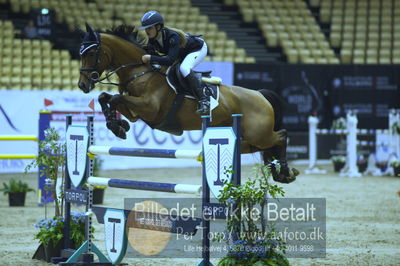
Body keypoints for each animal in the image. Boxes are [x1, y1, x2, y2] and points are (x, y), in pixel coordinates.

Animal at [76, 24, 298, 183]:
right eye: (81, 53)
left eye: (91, 53)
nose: (82, 85)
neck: (140, 70)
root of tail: (260, 95)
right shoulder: (136, 112)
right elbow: (105, 98)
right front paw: (118, 126)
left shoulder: (150, 108)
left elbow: (114, 98)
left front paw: (118, 127)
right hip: (248, 141)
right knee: (268, 147)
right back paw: (279, 172)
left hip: (259, 135)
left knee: (281, 136)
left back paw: (286, 172)